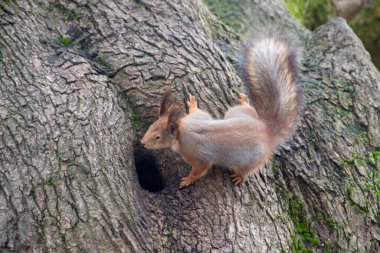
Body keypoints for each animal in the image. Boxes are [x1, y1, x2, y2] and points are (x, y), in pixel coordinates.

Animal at [141, 31, 302, 188]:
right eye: (151, 126)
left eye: (158, 137)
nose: (142, 143)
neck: (182, 130)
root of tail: (267, 131)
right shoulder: (196, 118)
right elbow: (199, 113)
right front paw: (192, 104)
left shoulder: (196, 155)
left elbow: (200, 170)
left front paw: (188, 180)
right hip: (235, 113)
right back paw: (244, 102)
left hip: (250, 160)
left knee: (248, 170)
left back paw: (240, 177)